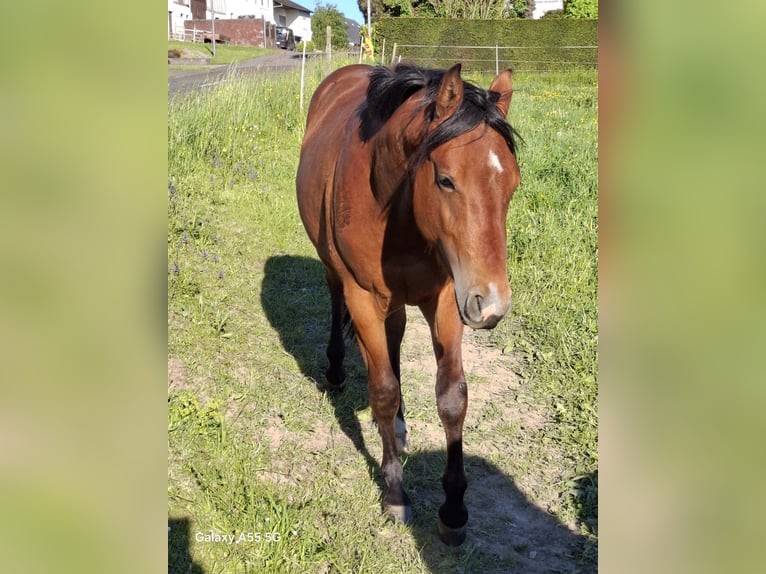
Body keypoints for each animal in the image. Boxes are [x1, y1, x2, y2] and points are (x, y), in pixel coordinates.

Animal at [296, 63, 520, 546]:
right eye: (446, 180)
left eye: (511, 185)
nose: (492, 305)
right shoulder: (363, 299)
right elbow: (381, 392)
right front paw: (395, 493)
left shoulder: (447, 300)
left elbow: (452, 398)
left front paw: (454, 510)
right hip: (337, 274)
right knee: (336, 304)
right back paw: (337, 371)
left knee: (395, 336)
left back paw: (399, 427)